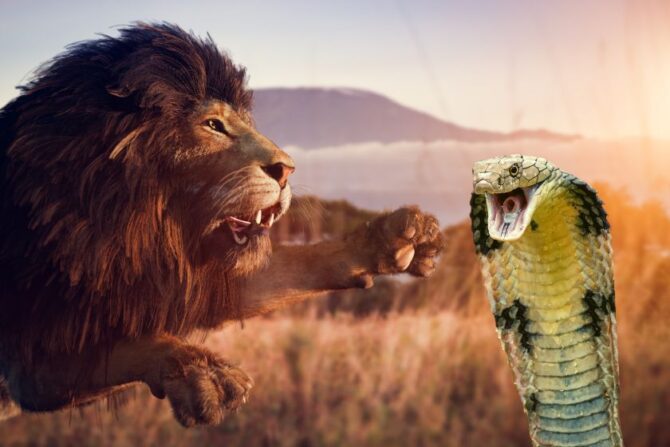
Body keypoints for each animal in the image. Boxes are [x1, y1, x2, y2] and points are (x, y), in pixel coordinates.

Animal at [0, 23, 444, 427]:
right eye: (214, 125)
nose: (287, 170)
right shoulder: (30, 362)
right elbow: (127, 346)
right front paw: (199, 371)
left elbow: (300, 263)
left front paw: (393, 238)